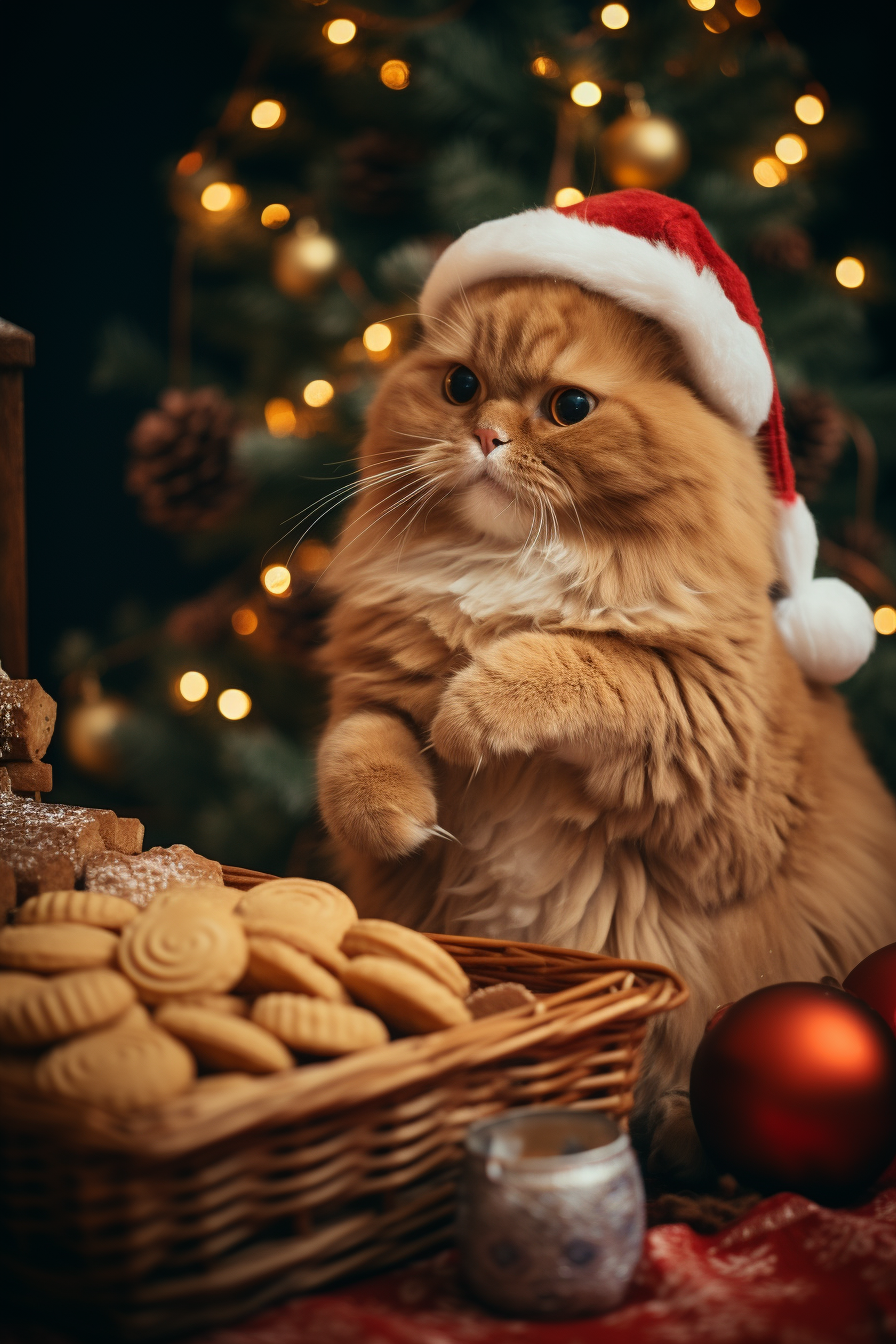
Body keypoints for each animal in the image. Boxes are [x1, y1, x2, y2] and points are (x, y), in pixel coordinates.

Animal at [315, 192, 896, 1177]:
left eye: (570, 407)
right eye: (460, 385)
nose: (485, 436)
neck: (507, 576)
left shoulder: (708, 758)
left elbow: (585, 661)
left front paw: (472, 710)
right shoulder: (371, 695)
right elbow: (359, 755)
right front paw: (402, 815)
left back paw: (682, 1132)